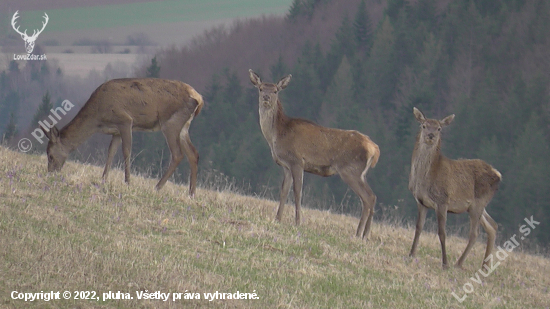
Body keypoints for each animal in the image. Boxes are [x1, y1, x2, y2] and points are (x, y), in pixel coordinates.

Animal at [41, 78, 205, 196]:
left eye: (50, 155)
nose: (50, 173)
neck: (98, 117)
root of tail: (199, 98)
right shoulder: (116, 131)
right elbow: (111, 152)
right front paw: (103, 179)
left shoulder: (125, 120)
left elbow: (126, 151)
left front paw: (127, 182)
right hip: (184, 127)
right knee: (193, 154)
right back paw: (192, 193)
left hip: (170, 123)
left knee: (178, 154)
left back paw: (157, 187)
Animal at [249, 70, 382, 238]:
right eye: (260, 88)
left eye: (275, 91)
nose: (266, 97)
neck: (277, 134)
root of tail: (375, 148)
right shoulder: (286, 166)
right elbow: (283, 192)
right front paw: (277, 219)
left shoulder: (297, 161)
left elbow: (297, 192)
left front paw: (298, 222)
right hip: (360, 173)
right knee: (372, 197)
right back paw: (365, 234)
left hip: (350, 170)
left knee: (367, 198)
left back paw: (359, 233)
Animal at [408, 107, 502, 268]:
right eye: (424, 125)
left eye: (439, 128)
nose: (431, 136)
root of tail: (498, 175)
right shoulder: (421, 201)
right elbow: (419, 227)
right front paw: (411, 254)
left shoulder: (442, 201)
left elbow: (442, 232)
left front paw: (444, 262)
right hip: (477, 206)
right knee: (492, 226)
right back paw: (485, 265)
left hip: (478, 203)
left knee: (475, 233)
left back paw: (458, 263)